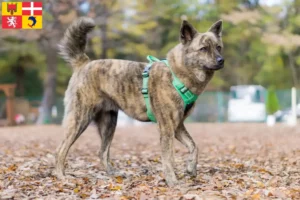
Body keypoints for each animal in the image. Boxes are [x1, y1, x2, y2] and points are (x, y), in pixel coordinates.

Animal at [54, 16, 224, 186]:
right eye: (203, 49)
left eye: (219, 47)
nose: (221, 60)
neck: (176, 75)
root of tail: (84, 63)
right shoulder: (167, 127)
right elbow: (169, 158)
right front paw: (172, 181)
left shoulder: (177, 126)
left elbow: (194, 146)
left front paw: (191, 168)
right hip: (80, 119)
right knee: (61, 149)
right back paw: (61, 176)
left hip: (109, 124)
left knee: (102, 152)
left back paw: (113, 174)